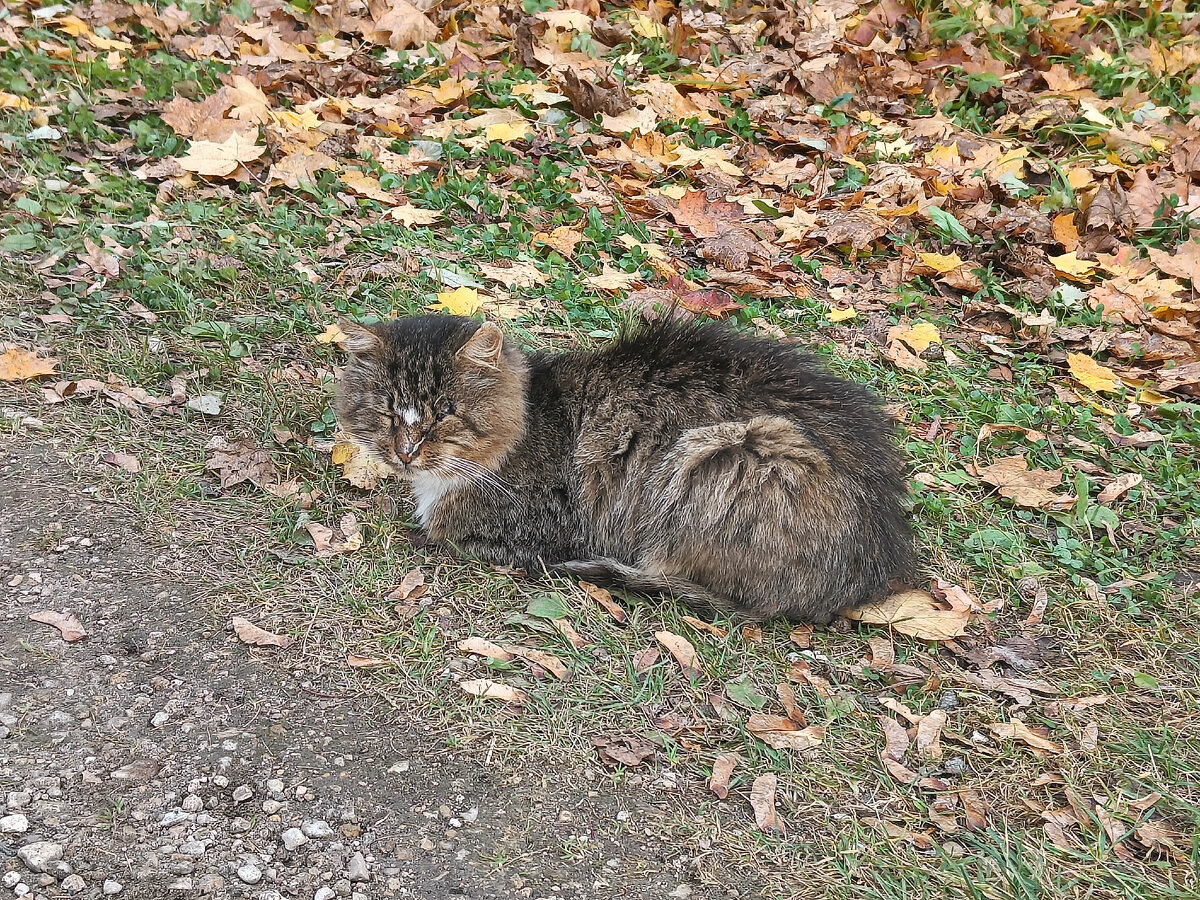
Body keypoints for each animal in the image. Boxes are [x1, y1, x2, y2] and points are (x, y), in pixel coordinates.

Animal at [333, 314, 912, 624]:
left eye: (445, 413)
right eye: (387, 410)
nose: (406, 451)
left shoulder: (541, 523)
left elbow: (453, 532)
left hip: (726, 452)